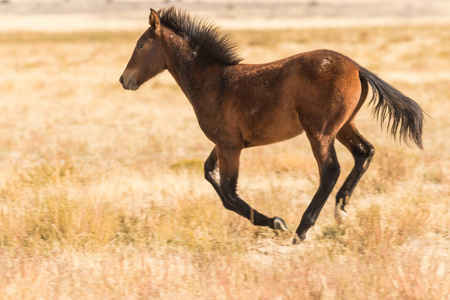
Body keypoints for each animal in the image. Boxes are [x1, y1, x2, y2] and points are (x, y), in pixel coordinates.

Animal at [118, 7, 422, 244]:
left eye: (140, 45)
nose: (124, 79)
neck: (213, 82)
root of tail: (357, 67)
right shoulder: (225, 143)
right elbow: (210, 174)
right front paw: (274, 221)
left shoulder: (230, 145)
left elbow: (228, 193)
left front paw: (277, 222)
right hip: (345, 126)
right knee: (364, 152)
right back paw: (341, 210)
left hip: (320, 132)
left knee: (330, 170)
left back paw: (302, 229)